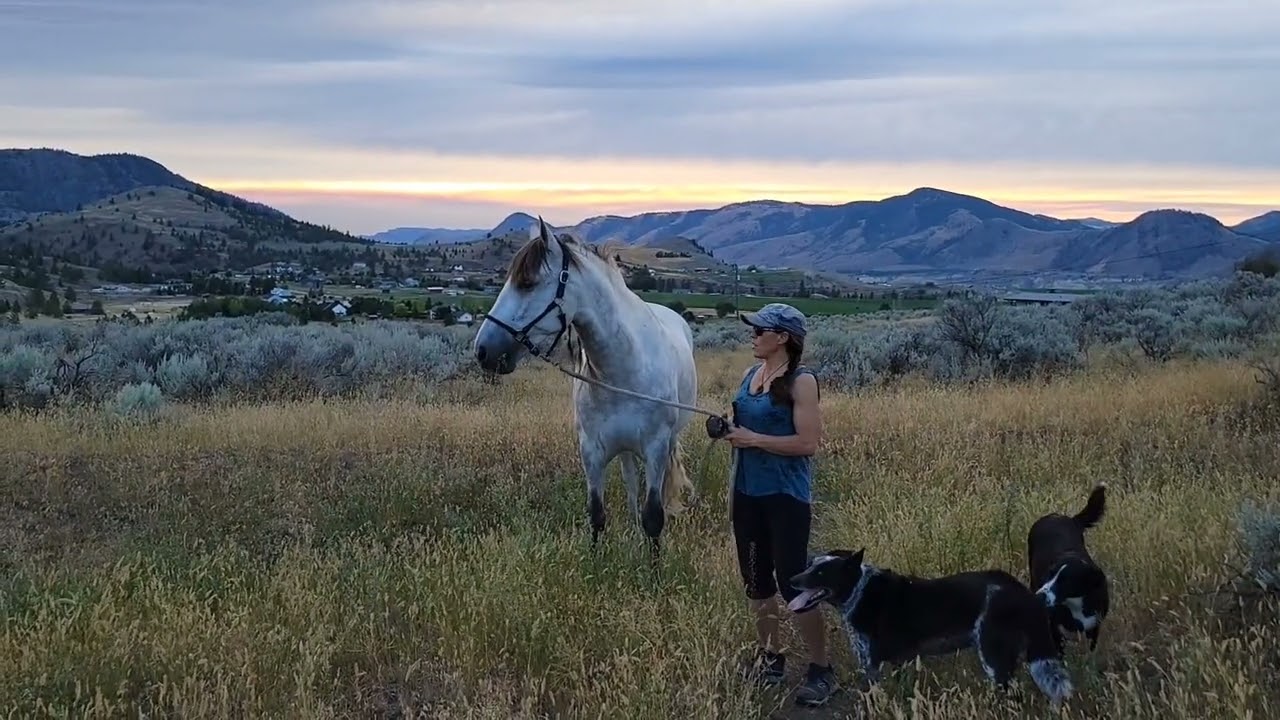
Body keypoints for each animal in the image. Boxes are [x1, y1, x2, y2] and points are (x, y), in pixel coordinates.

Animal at [473, 217, 698, 557]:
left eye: (527, 283)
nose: (483, 351)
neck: (622, 370)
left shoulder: (656, 448)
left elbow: (654, 518)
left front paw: (655, 564)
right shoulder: (591, 451)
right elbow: (597, 514)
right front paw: (595, 561)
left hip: (666, 442)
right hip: (625, 450)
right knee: (630, 483)